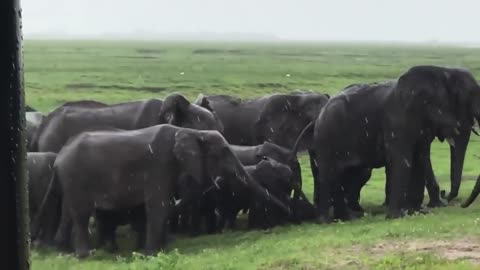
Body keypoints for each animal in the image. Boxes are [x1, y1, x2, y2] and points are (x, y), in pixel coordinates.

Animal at [38, 124, 288, 258]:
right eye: (224, 152)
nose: (287, 216)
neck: (191, 131)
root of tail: (59, 158)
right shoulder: (158, 164)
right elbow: (157, 206)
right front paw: (152, 254)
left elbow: (162, 205)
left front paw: (163, 249)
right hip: (76, 176)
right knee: (81, 213)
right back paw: (84, 255)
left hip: (71, 180)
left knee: (68, 212)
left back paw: (63, 250)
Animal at [296, 65, 480, 221]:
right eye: (467, 99)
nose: (446, 194)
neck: (443, 70)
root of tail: (318, 117)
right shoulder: (397, 120)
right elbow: (403, 159)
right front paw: (397, 216)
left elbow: (420, 157)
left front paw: (418, 212)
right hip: (326, 136)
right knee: (330, 174)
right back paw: (331, 220)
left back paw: (347, 218)